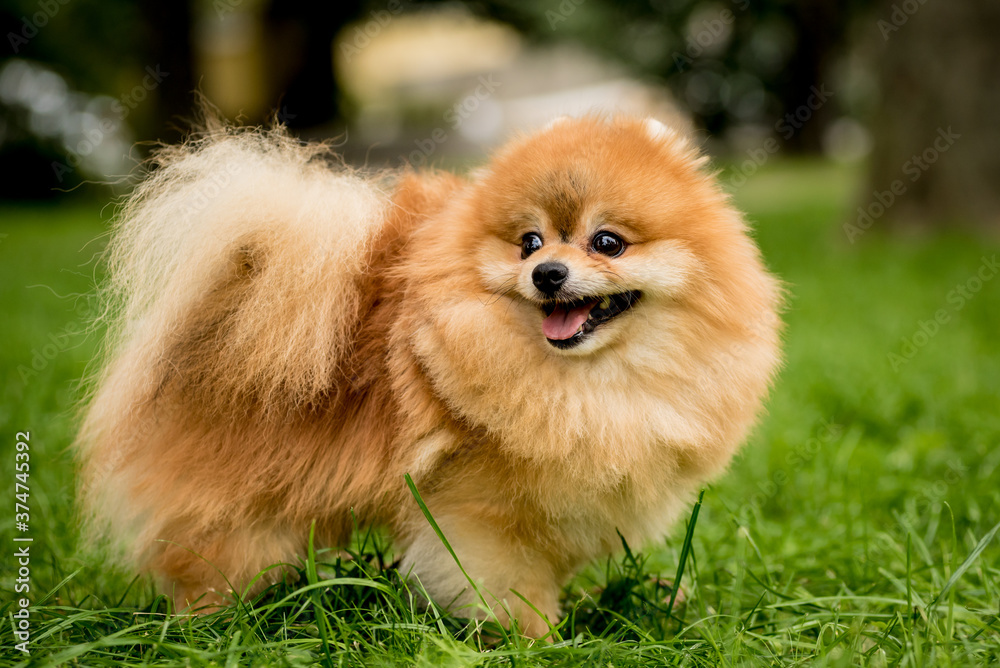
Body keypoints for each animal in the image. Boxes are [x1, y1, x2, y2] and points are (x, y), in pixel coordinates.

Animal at [78, 115, 780, 636]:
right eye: (529, 242)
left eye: (607, 242)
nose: (547, 273)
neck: (587, 381)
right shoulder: (478, 516)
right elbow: (509, 589)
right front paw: (540, 641)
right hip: (238, 518)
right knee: (210, 569)